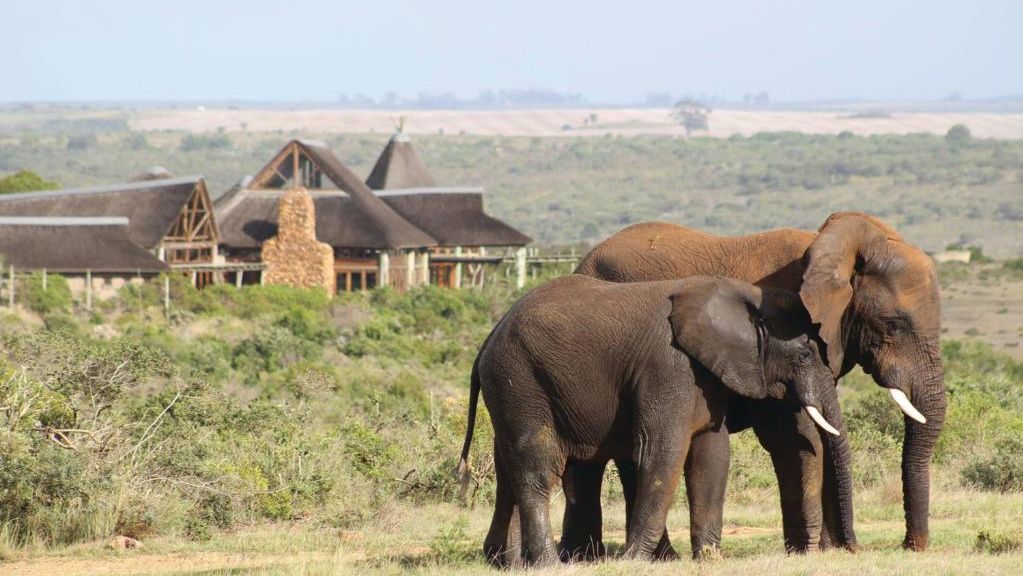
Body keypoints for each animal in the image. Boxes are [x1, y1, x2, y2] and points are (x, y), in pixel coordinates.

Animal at [458, 274, 847, 568]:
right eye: (805, 354)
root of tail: (486, 342)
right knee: (536, 467)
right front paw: (634, 560)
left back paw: (506, 564)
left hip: (512, 388)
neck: (740, 293)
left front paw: (710, 559)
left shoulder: (706, 374)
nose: (843, 549)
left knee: (507, 469)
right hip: (521, 379)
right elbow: (661, 451)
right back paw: (548, 565)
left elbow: (711, 454)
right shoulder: (668, 367)